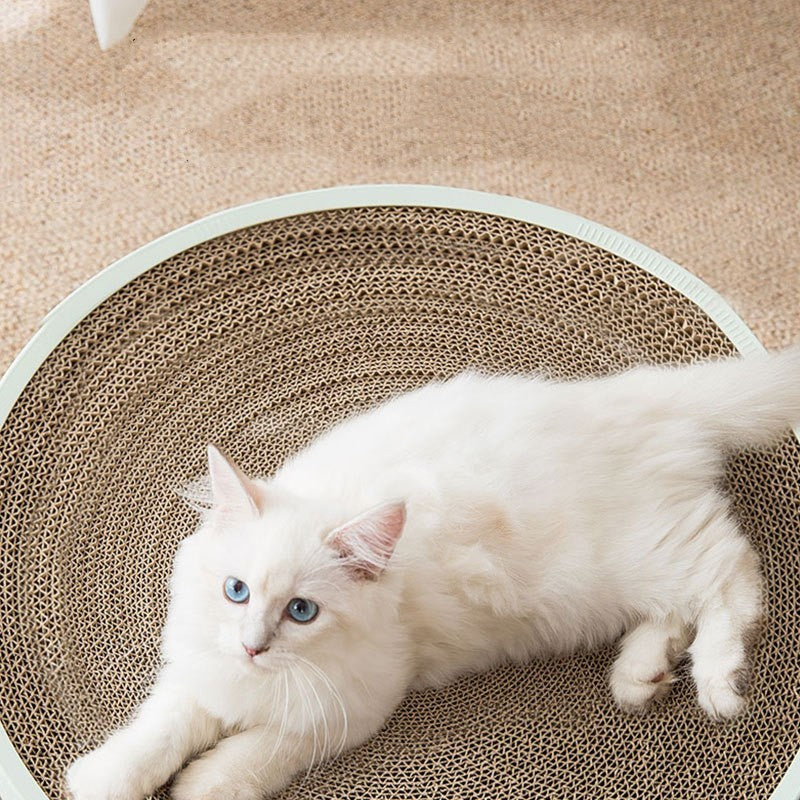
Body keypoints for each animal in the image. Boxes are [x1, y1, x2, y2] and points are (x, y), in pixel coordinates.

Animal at [69, 348, 800, 800]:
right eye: (236, 591)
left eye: (302, 611)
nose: (252, 646)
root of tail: (641, 395)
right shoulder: (200, 670)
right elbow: (160, 730)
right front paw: (103, 778)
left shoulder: (350, 707)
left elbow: (256, 752)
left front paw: (202, 784)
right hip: (632, 574)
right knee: (679, 605)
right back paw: (640, 675)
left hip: (643, 551)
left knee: (732, 573)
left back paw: (718, 683)